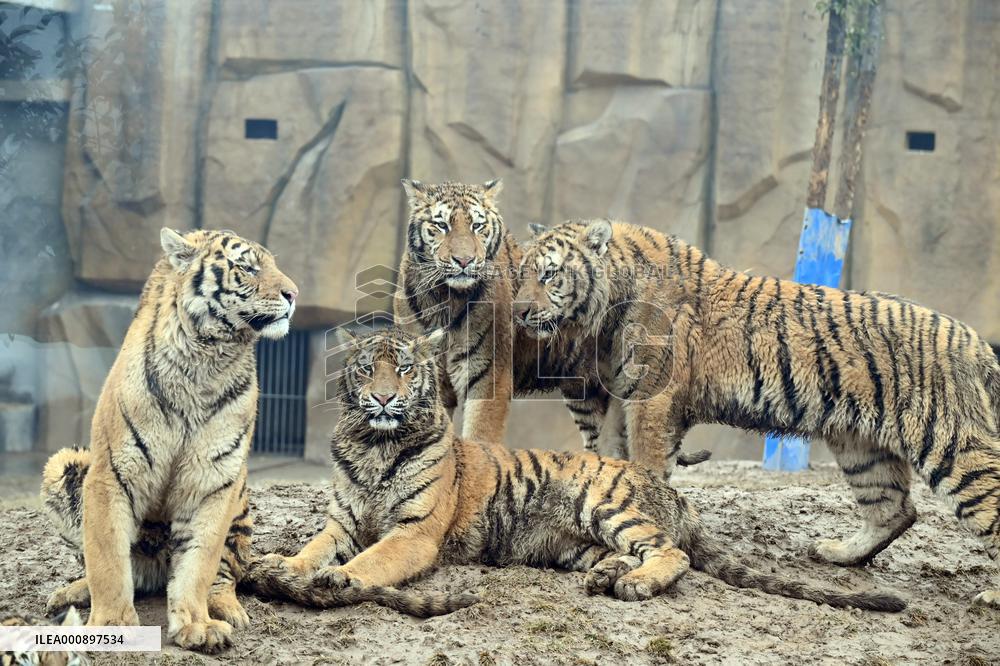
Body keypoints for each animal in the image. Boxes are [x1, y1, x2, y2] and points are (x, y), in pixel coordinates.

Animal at [40, 228, 298, 653]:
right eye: (247, 267)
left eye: (274, 265)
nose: (293, 294)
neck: (208, 358)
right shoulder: (112, 473)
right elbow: (106, 558)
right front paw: (111, 623)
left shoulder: (213, 479)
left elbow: (199, 562)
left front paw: (197, 625)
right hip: (65, 464)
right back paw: (71, 593)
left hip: (239, 501)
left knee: (224, 576)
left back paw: (227, 610)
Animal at [255, 326, 905, 613]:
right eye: (368, 369)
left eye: (405, 370)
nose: (385, 398)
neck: (374, 442)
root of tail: (669, 490)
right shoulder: (340, 522)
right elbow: (312, 549)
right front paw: (284, 565)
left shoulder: (413, 533)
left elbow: (370, 560)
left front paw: (340, 580)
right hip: (576, 542)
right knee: (629, 554)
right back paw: (606, 577)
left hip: (607, 504)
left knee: (671, 553)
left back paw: (635, 583)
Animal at [392, 179, 709, 466]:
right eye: (442, 225)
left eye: (478, 226)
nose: (464, 260)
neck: (443, 296)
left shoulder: (486, 375)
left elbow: (480, 435)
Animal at [514, 218, 1000, 607]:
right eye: (519, 276)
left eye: (549, 274)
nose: (518, 311)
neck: (610, 303)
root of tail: (976, 342)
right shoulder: (621, 397)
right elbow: (613, 456)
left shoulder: (651, 400)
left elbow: (646, 463)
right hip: (861, 446)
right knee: (894, 509)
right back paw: (837, 552)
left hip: (951, 443)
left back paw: (990, 595)